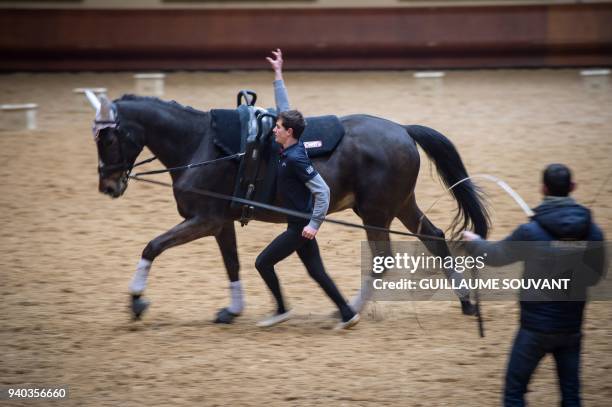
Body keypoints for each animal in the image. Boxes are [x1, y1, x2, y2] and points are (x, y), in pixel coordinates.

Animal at [87, 93, 488, 326]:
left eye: (107, 138)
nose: (108, 186)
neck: (201, 145)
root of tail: (403, 129)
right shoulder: (220, 224)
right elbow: (232, 263)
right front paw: (233, 309)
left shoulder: (204, 220)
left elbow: (152, 246)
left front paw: (137, 300)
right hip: (401, 204)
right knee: (434, 237)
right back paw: (465, 302)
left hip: (375, 213)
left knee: (382, 259)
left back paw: (351, 308)